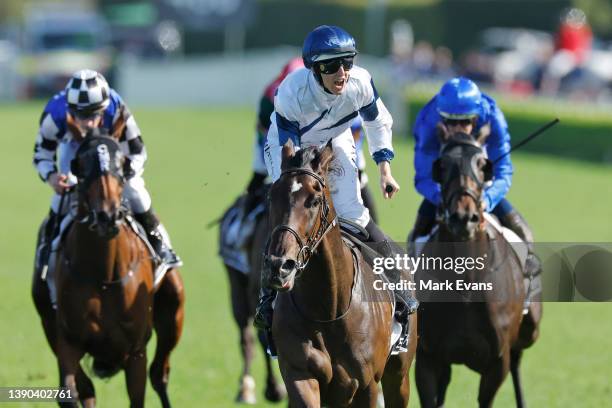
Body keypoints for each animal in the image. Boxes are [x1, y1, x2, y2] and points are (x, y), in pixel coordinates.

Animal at [32, 129, 184, 406]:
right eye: (80, 167)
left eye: (121, 165)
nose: (107, 216)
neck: (103, 275)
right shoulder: (68, 340)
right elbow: (70, 392)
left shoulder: (136, 351)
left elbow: (138, 395)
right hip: (48, 323)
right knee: (88, 389)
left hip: (173, 312)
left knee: (160, 375)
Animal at [262, 141, 416, 408]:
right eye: (273, 196)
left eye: (314, 200)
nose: (279, 266)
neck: (328, 310)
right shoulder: (300, 375)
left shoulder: (367, 385)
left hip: (399, 376)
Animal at [416, 131, 540, 408]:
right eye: (442, 166)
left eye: (483, 166)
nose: (464, 217)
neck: (467, 281)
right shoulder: (428, 356)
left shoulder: (497, 361)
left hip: (530, 329)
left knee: (518, 360)